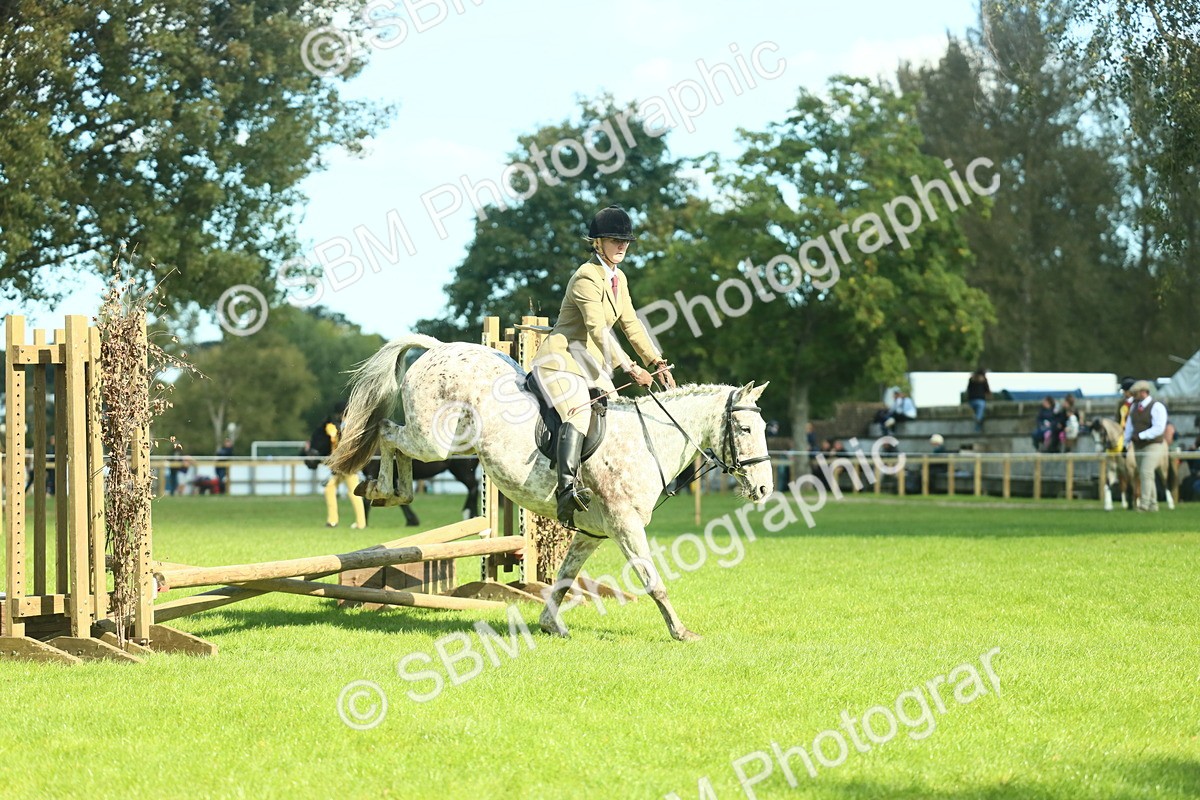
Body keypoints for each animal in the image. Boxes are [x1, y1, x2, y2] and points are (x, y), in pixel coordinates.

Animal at [328, 334, 774, 642]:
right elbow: (653, 581)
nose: (765, 490)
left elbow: (563, 577)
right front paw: (680, 632)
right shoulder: (626, 527)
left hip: (451, 444)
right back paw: (382, 490)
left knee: (393, 439)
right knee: (388, 432)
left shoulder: (594, 532)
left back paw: (388, 492)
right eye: (745, 429)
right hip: (434, 441)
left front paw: (549, 624)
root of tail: (440, 347)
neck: (649, 440)